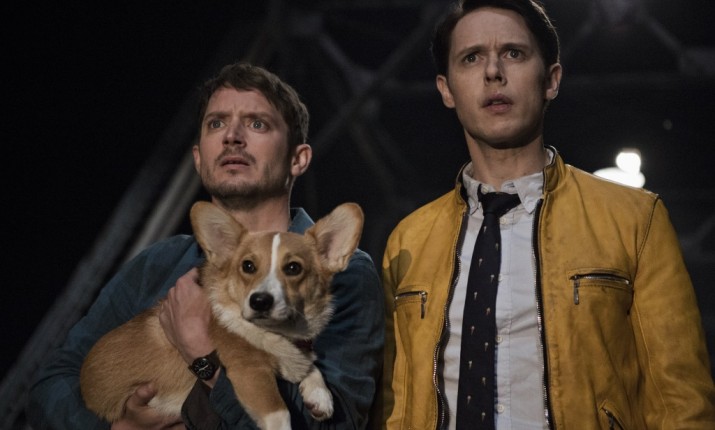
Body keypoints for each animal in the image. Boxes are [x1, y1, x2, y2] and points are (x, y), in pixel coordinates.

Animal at [80, 201, 364, 429]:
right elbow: (280, 414)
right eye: (248, 266)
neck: (277, 331)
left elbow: (310, 366)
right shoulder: (250, 372)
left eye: (293, 268)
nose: (260, 301)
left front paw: (319, 396)